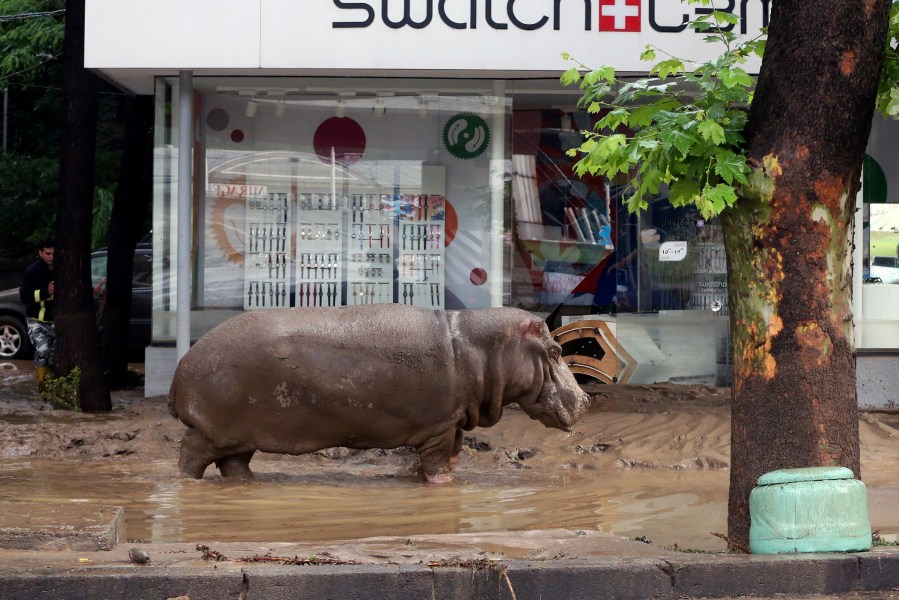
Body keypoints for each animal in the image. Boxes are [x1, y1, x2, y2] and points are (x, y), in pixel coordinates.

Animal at [168, 304, 590, 483]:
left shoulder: (451, 423)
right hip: (213, 431)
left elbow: (446, 459)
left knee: (234, 465)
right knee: (190, 455)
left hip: (238, 436)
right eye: (556, 350)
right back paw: (186, 484)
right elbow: (439, 465)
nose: (586, 400)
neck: (478, 346)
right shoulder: (440, 427)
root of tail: (183, 362)